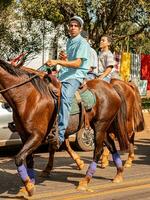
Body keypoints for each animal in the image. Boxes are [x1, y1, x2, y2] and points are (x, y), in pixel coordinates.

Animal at [0, 59, 129, 195]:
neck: (28, 98)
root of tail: (112, 88)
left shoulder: (37, 136)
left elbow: (19, 158)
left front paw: (29, 186)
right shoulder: (24, 135)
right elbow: (29, 159)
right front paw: (30, 184)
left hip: (100, 126)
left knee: (98, 151)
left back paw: (85, 181)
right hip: (100, 127)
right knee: (111, 145)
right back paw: (119, 174)